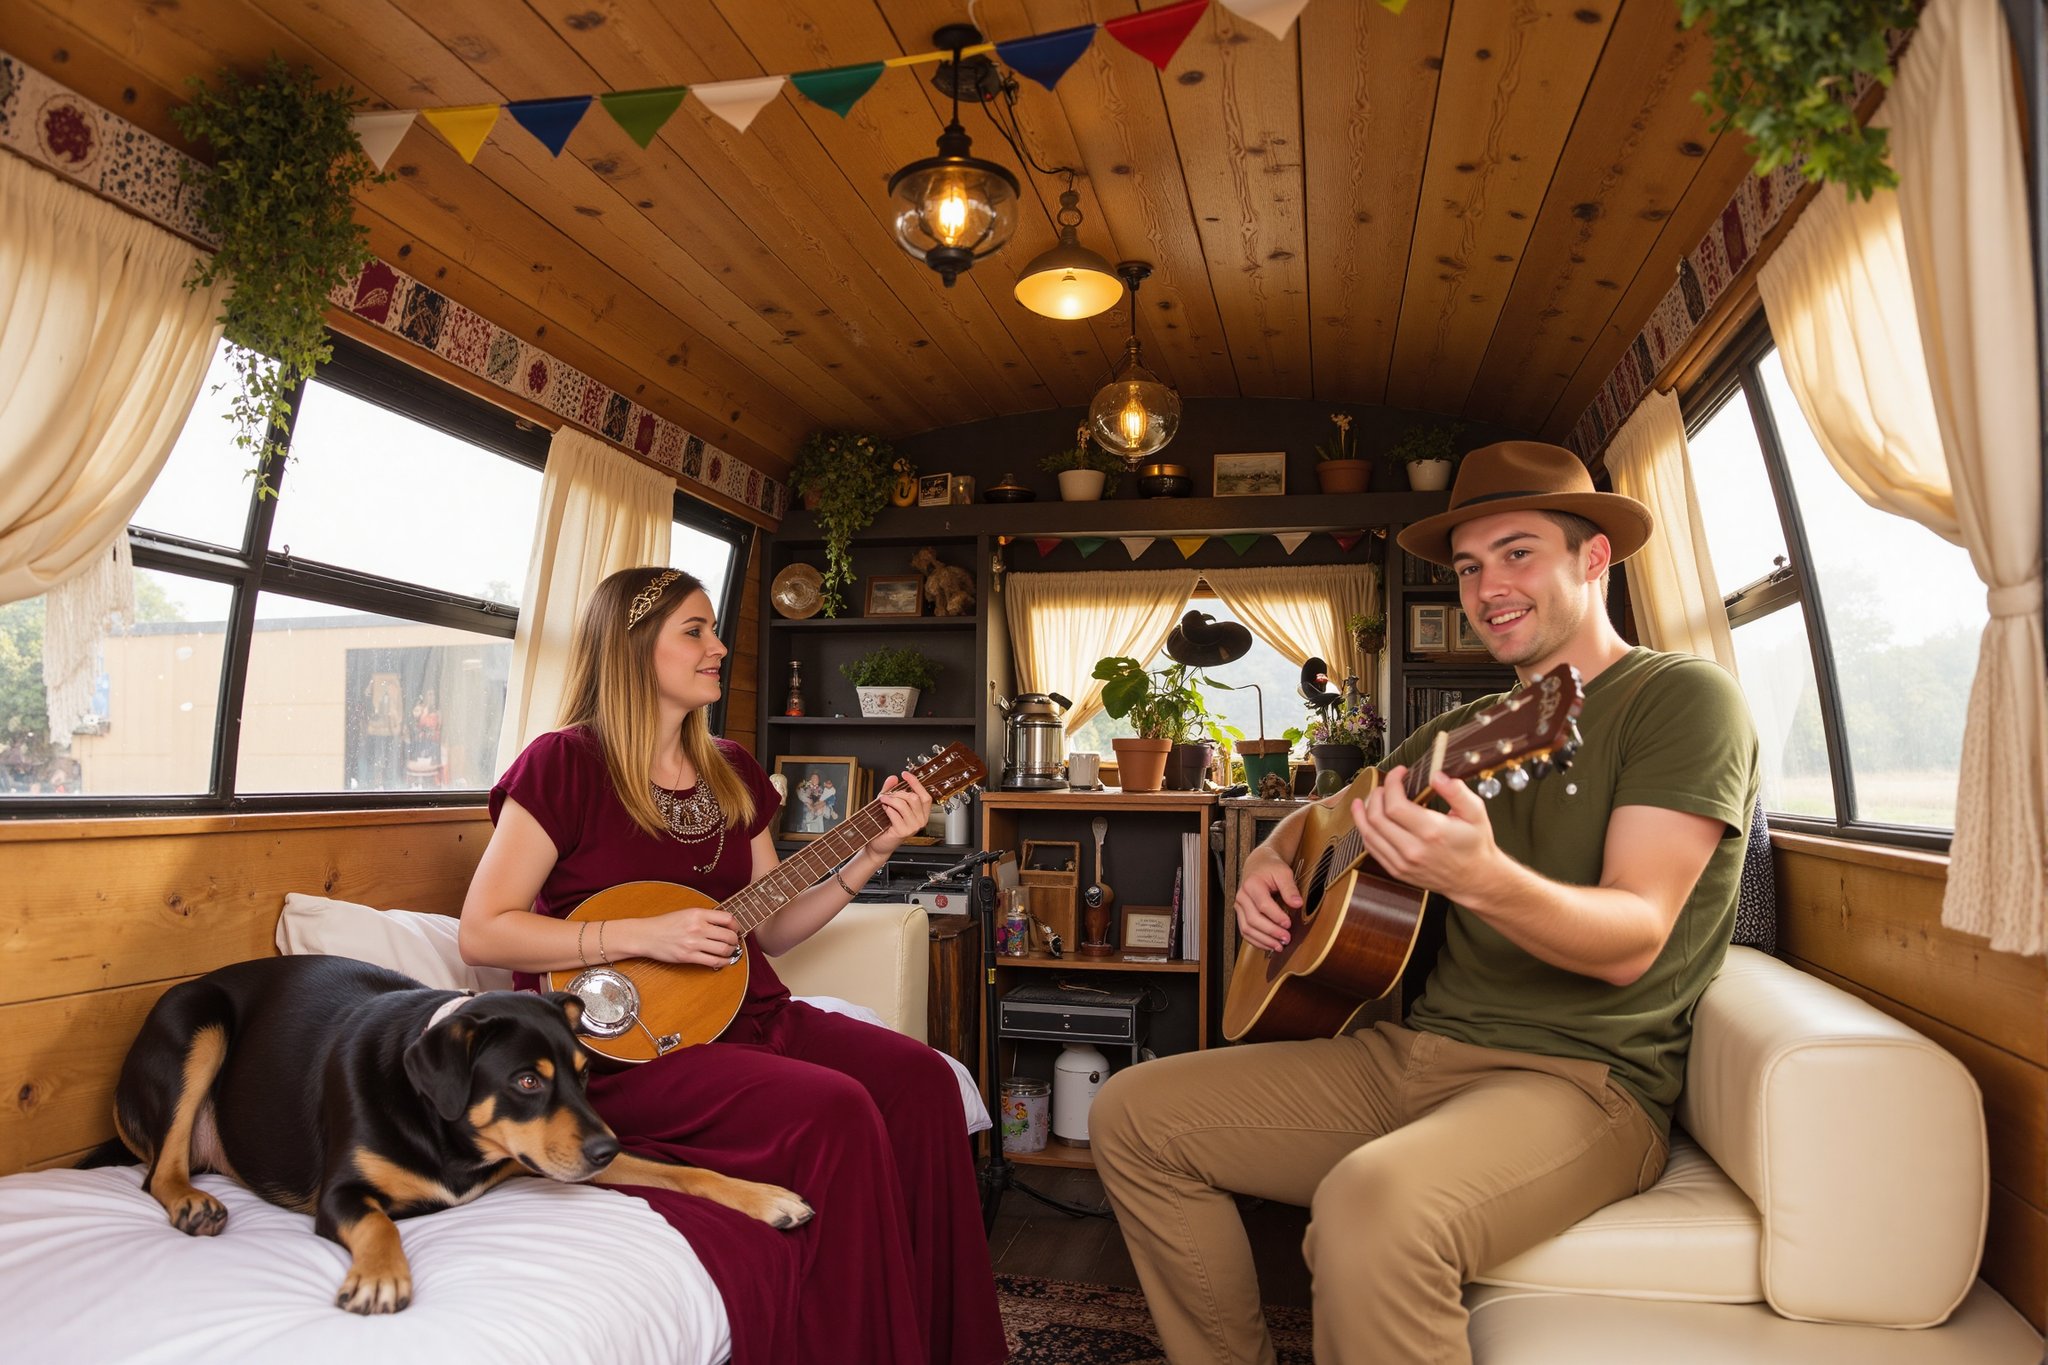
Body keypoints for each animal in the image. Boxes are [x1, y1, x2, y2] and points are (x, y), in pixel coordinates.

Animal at [101, 957, 806, 1317]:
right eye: (526, 1080)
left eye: (584, 1075)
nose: (604, 1150)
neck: (450, 1132)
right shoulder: (341, 1194)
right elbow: (378, 1222)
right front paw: (381, 1278)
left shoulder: (554, 1152)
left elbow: (679, 1169)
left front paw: (767, 1198)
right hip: (197, 1021)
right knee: (157, 1173)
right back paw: (192, 1202)